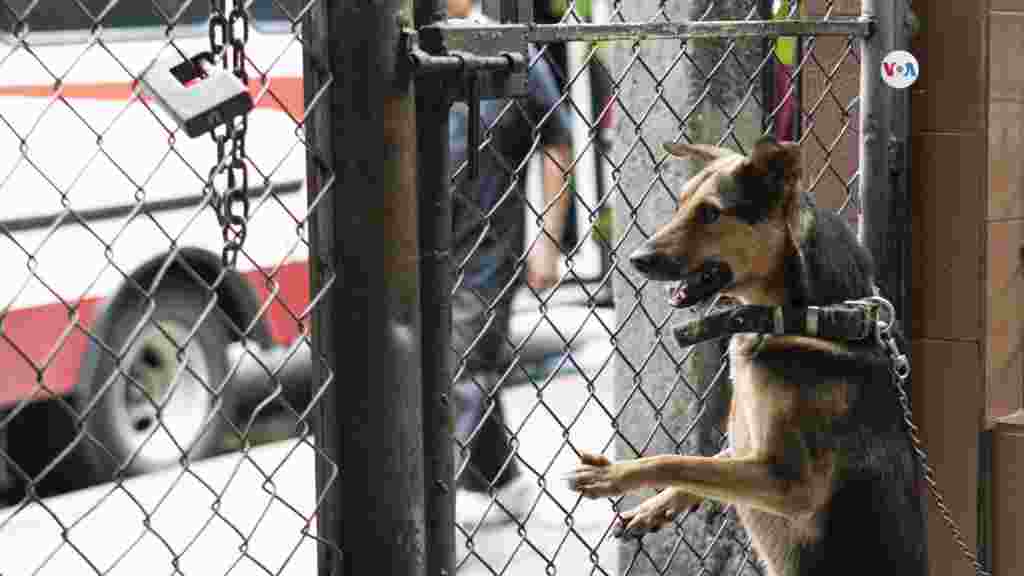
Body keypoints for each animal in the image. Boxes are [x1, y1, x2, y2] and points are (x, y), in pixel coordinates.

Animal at [565, 136, 933, 569]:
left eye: (711, 212)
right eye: (680, 204)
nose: (636, 260)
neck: (810, 316)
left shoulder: (789, 483)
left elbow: (680, 461)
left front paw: (612, 476)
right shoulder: (749, 451)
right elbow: (708, 461)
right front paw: (654, 507)